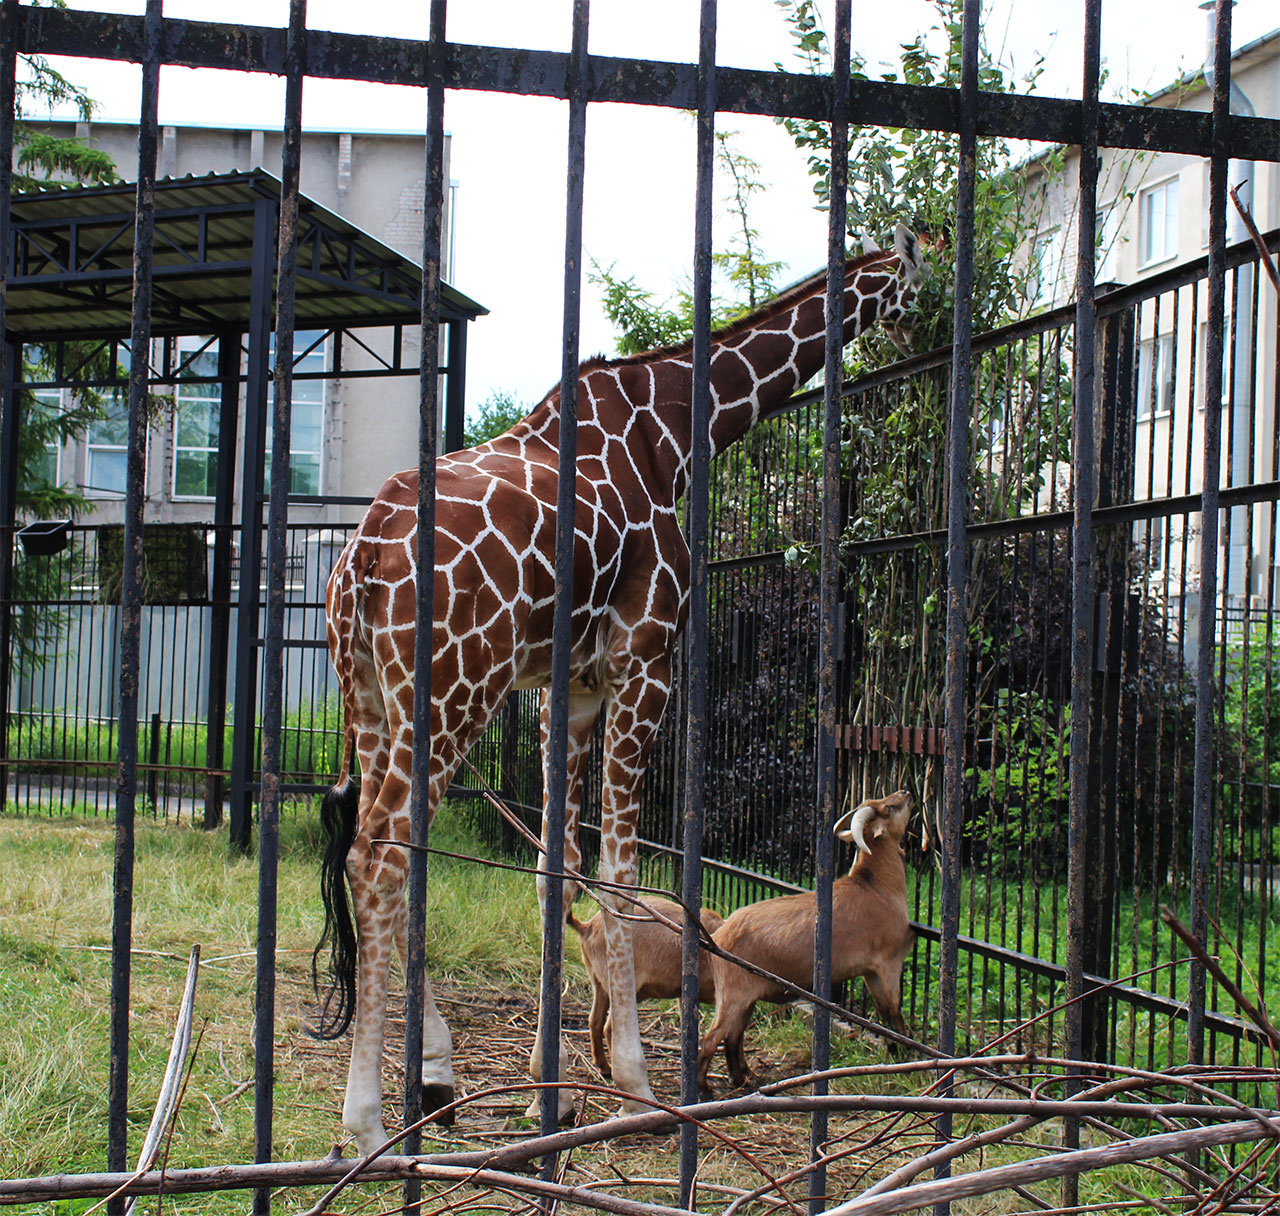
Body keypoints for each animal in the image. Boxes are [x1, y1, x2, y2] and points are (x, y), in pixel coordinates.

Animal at [316, 224, 923, 1154]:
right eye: (924, 273)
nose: (921, 332)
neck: (674, 425)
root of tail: (366, 553)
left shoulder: (566, 689)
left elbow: (555, 871)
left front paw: (550, 1086)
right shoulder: (644, 662)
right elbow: (622, 875)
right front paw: (635, 1083)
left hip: (375, 700)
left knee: (382, 852)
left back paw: (434, 1074)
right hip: (452, 689)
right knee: (381, 853)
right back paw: (368, 1114)